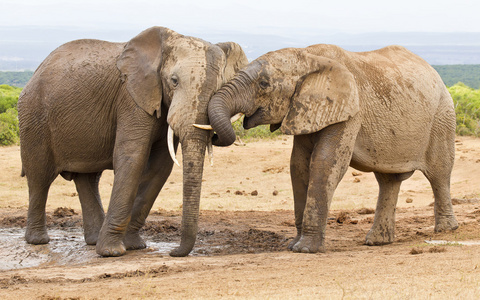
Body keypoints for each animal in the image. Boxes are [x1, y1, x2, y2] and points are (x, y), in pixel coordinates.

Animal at [16, 25, 248, 256]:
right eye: (174, 81)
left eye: (219, 87)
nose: (173, 252)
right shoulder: (131, 97)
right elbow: (133, 158)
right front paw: (112, 252)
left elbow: (160, 167)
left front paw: (134, 246)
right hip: (34, 117)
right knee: (40, 177)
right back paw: (38, 240)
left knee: (88, 179)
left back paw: (93, 240)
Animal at [205, 43, 458, 252]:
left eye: (264, 84)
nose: (213, 136)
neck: (309, 57)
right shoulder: (306, 108)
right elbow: (298, 166)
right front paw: (293, 246)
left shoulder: (350, 109)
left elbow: (325, 162)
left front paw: (305, 249)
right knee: (388, 181)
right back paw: (377, 241)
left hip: (442, 116)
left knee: (439, 173)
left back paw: (446, 230)